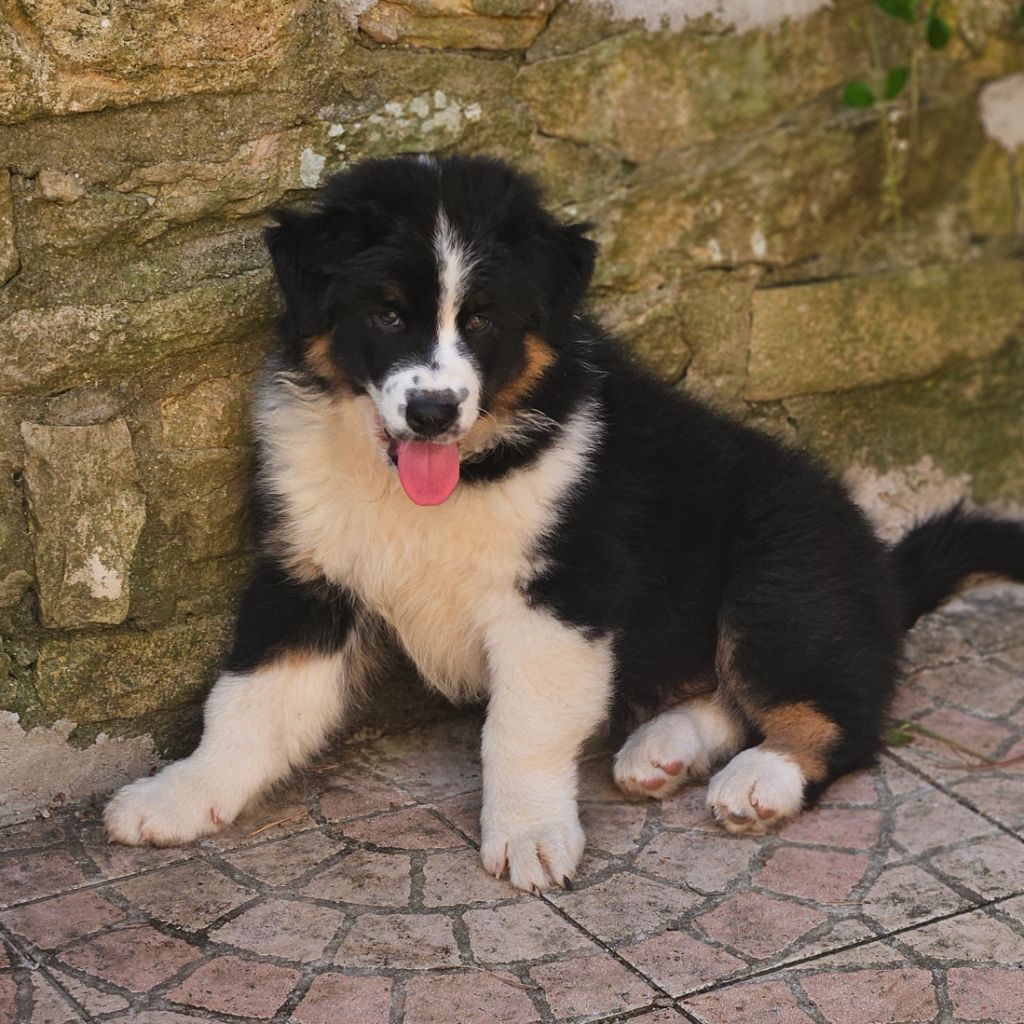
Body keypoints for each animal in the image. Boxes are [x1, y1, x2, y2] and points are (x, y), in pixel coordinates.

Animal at [105, 154, 1024, 892]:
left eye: (482, 319)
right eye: (388, 312)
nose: (433, 412)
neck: (440, 482)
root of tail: (881, 569)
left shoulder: (559, 596)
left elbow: (520, 729)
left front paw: (530, 836)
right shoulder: (310, 577)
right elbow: (246, 705)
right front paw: (178, 796)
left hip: (780, 578)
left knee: (840, 714)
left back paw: (760, 778)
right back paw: (666, 748)